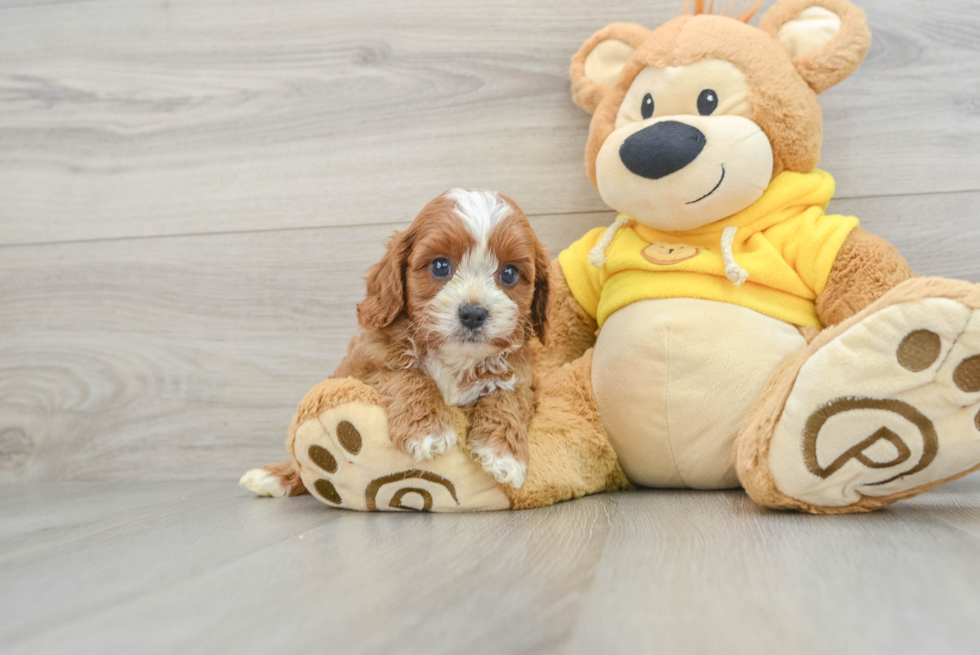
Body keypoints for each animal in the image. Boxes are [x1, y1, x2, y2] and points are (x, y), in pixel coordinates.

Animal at [328, 190, 544, 486]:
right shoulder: (366, 366)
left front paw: (504, 454)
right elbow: (408, 375)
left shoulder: (523, 379)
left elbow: (507, 396)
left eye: (509, 273)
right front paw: (426, 430)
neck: (455, 357)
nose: (473, 313)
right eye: (440, 266)